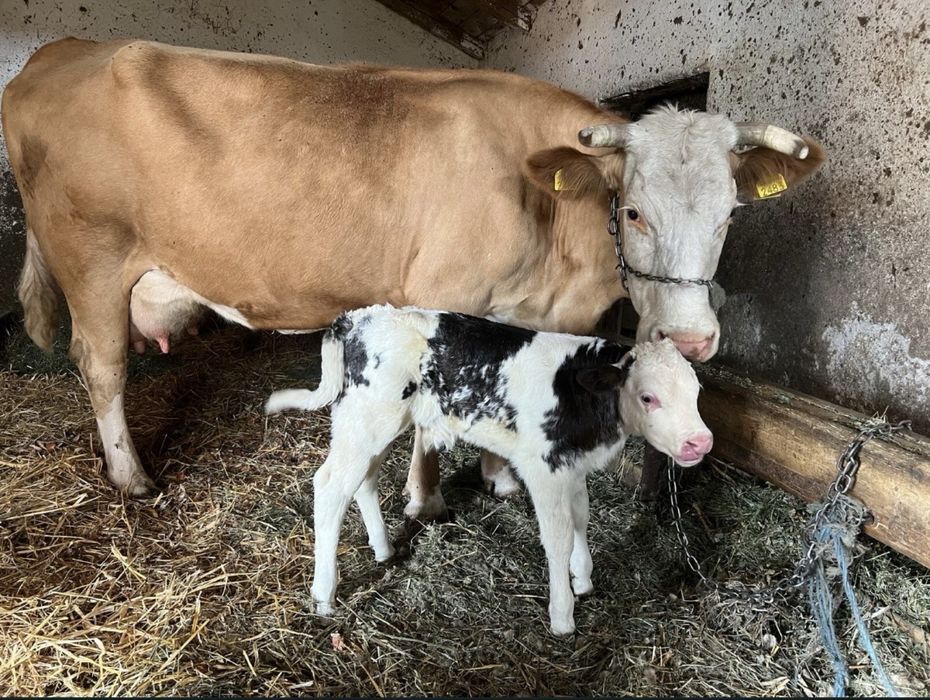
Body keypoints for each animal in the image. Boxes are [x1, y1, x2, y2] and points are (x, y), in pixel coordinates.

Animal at [1, 38, 824, 515]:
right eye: (631, 211)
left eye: (729, 214)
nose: (690, 338)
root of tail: (60, 49)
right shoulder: (443, 296)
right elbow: (434, 411)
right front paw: (424, 501)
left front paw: (498, 476)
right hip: (93, 258)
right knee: (100, 365)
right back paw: (131, 476)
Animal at [264, 304, 712, 635]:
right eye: (648, 397)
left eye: (696, 391)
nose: (700, 443)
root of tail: (357, 317)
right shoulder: (542, 468)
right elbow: (558, 536)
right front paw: (562, 615)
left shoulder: (571, 466)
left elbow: (581, 518)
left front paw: (583, 579)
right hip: (366, 420)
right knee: (329, 486)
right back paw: (324, 594)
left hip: (373, 424)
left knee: (363, 481)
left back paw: (384, 550)